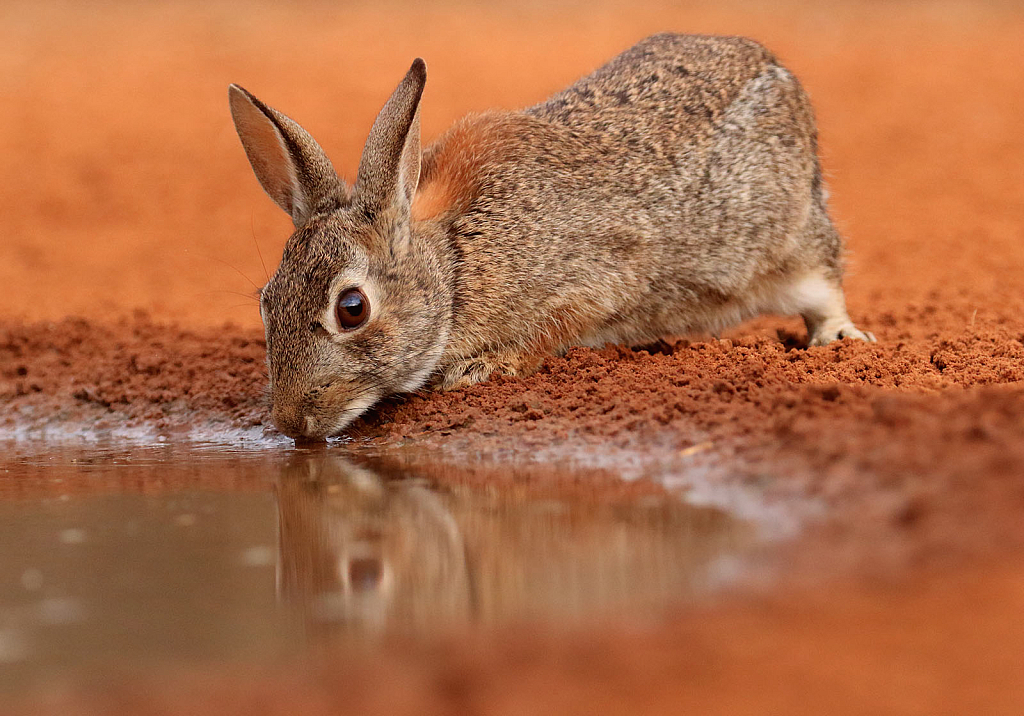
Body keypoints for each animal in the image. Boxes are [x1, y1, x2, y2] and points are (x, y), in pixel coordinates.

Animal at [230, 32, 872, 442]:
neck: (455, 269)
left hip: (792, 245)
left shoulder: (597, 278)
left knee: (825, 281)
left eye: (352, 309)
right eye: (266, 302)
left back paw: (839, 338)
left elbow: (555, 328)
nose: (292, 423)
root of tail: (780, 74)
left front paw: (480, 370)